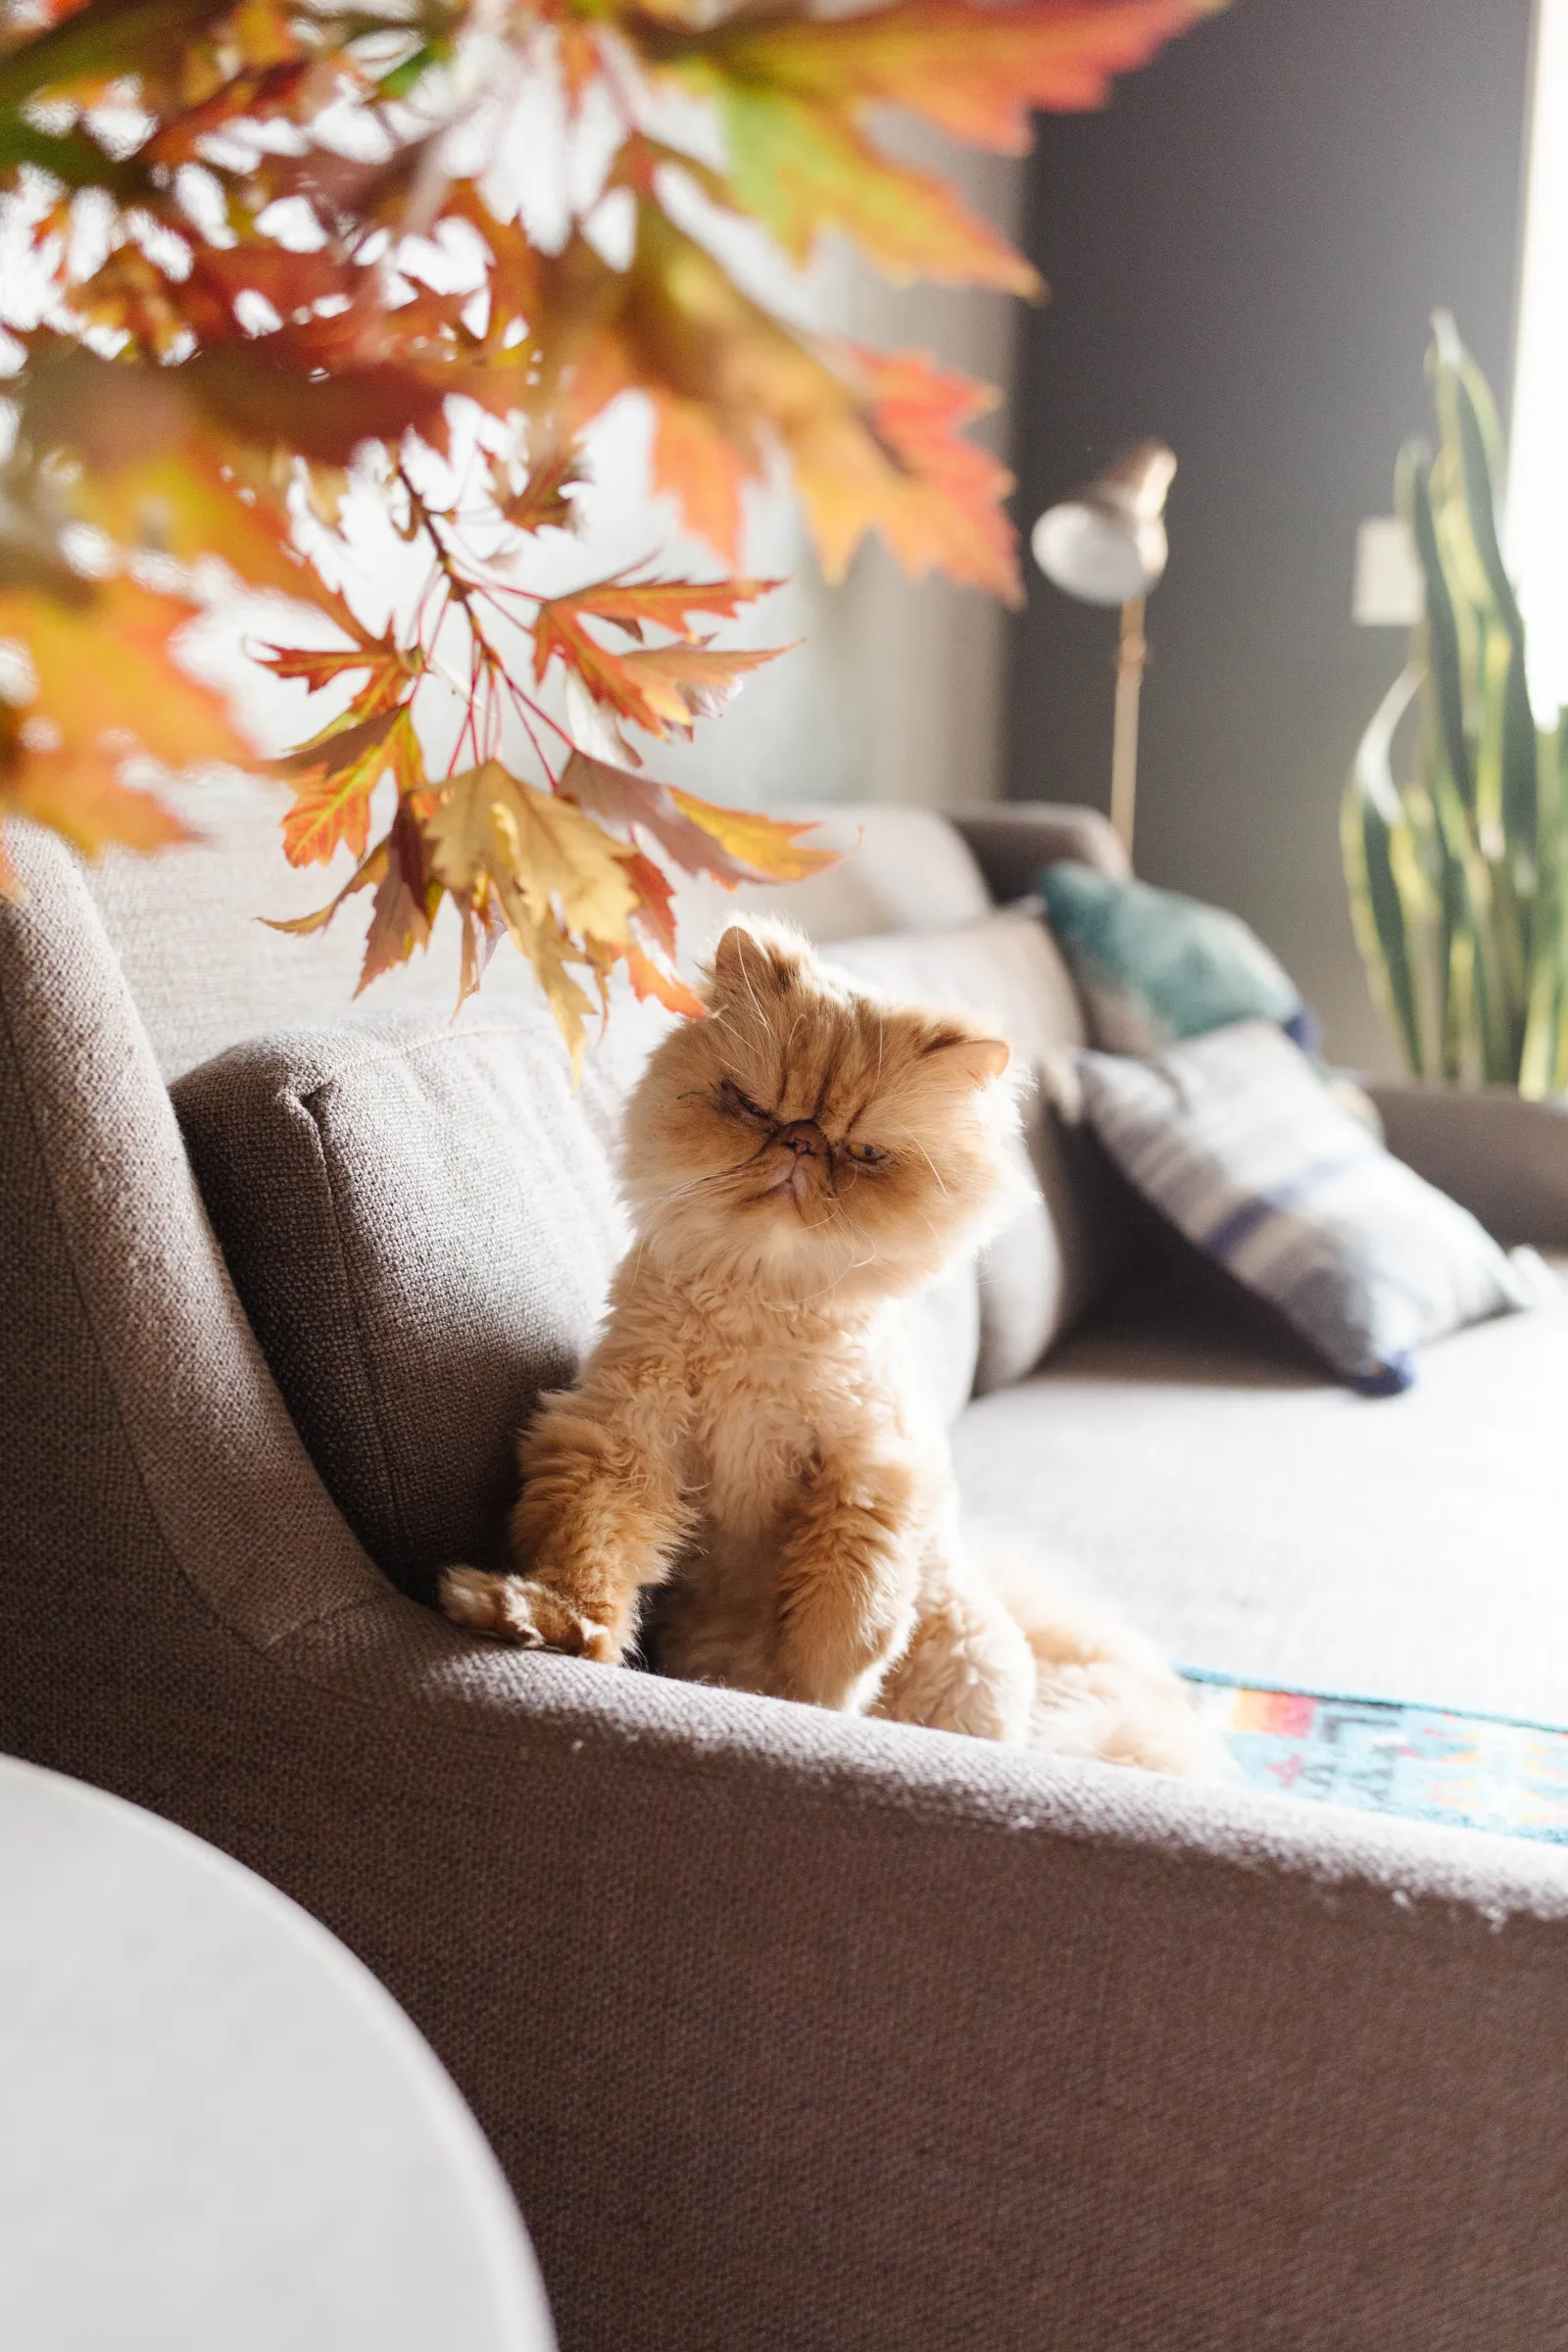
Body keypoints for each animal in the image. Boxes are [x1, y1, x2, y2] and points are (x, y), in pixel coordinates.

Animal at [446, 912, 1222, 1768]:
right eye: (752, 1107)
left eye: (865, 1152)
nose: (803, 1142)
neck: (762, 1302)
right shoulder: (625, 1441)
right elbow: (590, 1559)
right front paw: (538, 1623)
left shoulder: (867, 1479)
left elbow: (836, 1633)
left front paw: (809, 1712)